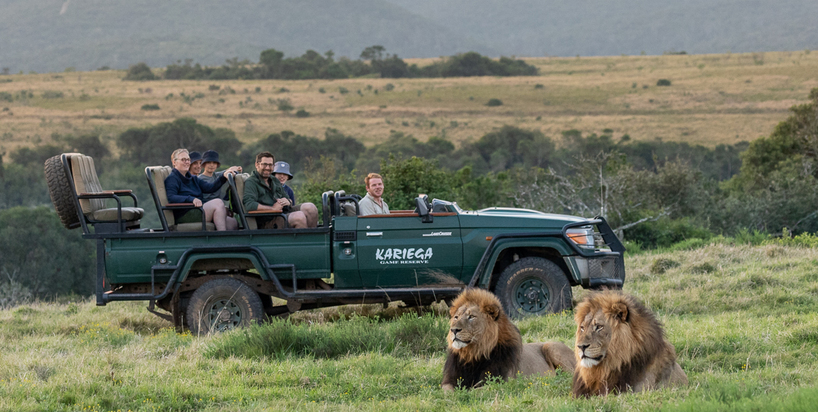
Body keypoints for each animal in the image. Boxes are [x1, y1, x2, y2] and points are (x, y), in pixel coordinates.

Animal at [440, 288, 572, 392]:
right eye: (456, 317)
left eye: (471, 316)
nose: (454, 330)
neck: (473, 355)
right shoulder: (448, 381)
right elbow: (448, 391)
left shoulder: (499, 382)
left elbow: (473, 391)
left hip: (551, 347)